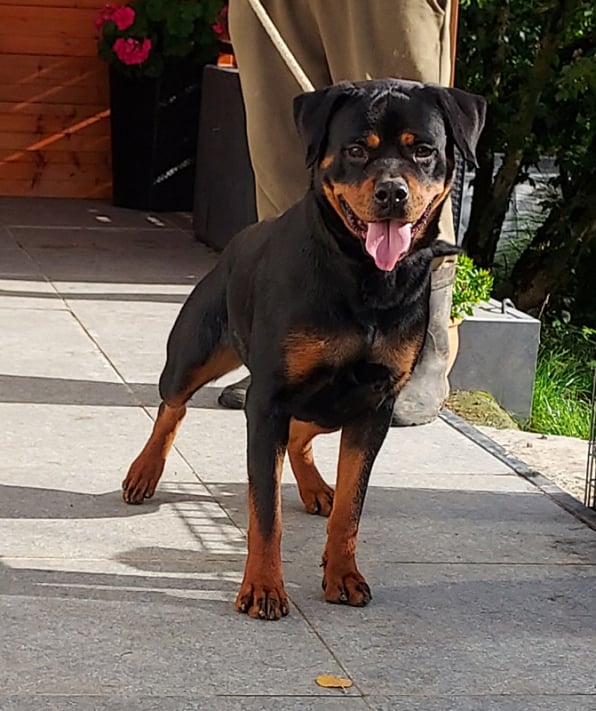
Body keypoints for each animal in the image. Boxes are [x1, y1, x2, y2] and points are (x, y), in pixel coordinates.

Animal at [122, 78, 486, 620]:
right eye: (356, 150)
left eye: (423, 151)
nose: (392, 192)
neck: (365, 279)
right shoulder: (268, 399)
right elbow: (265, 510)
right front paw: (263, 587)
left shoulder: (375, 405)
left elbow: (351, 508)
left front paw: (344, 575)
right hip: (196, 351)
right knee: (172, 406)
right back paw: (144, 473)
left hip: (335, 402)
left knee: (300, 435)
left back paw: (315, 488)